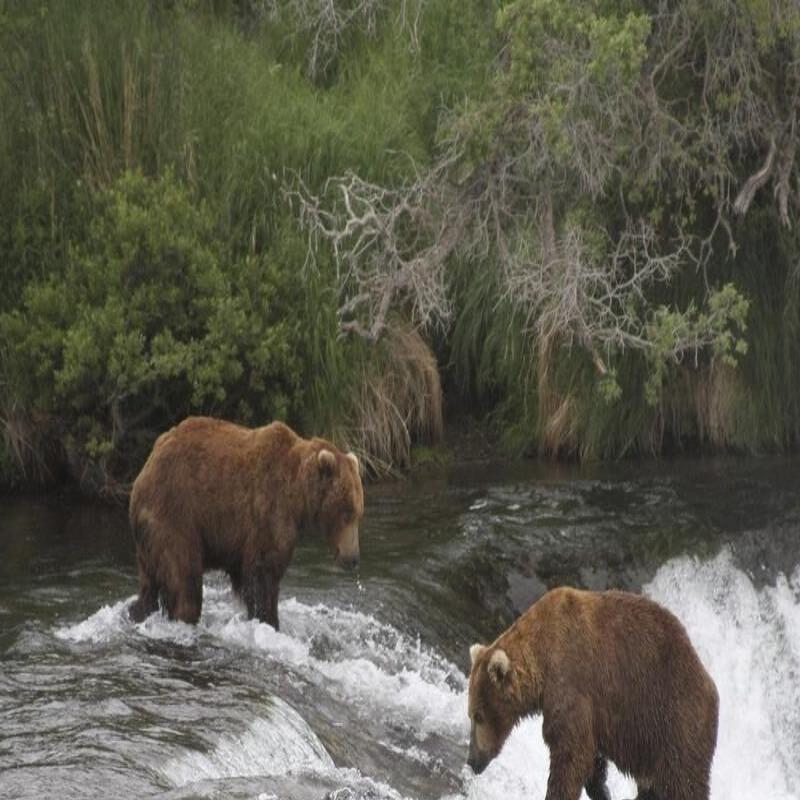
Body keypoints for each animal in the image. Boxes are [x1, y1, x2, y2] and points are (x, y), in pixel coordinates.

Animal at [126, 416, 364, 628]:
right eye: (346, 512)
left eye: (358, 513)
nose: (352, 558)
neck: (298, 496)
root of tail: (144, 471)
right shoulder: (268, 510)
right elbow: (263, 573)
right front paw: (269, 620)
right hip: (175, 514)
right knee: (184, 580)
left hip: (149, 541)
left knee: (150, 586)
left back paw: (136, 612)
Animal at [468, 588, 720, 800]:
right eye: (471, 715)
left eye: (478, 715)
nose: (472, 760)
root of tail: (710, 682)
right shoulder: (593, 709)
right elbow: (591, 757)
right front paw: (602, 791)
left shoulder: (571, 680)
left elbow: (572, 752)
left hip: (674, 720)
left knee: (683, 782)